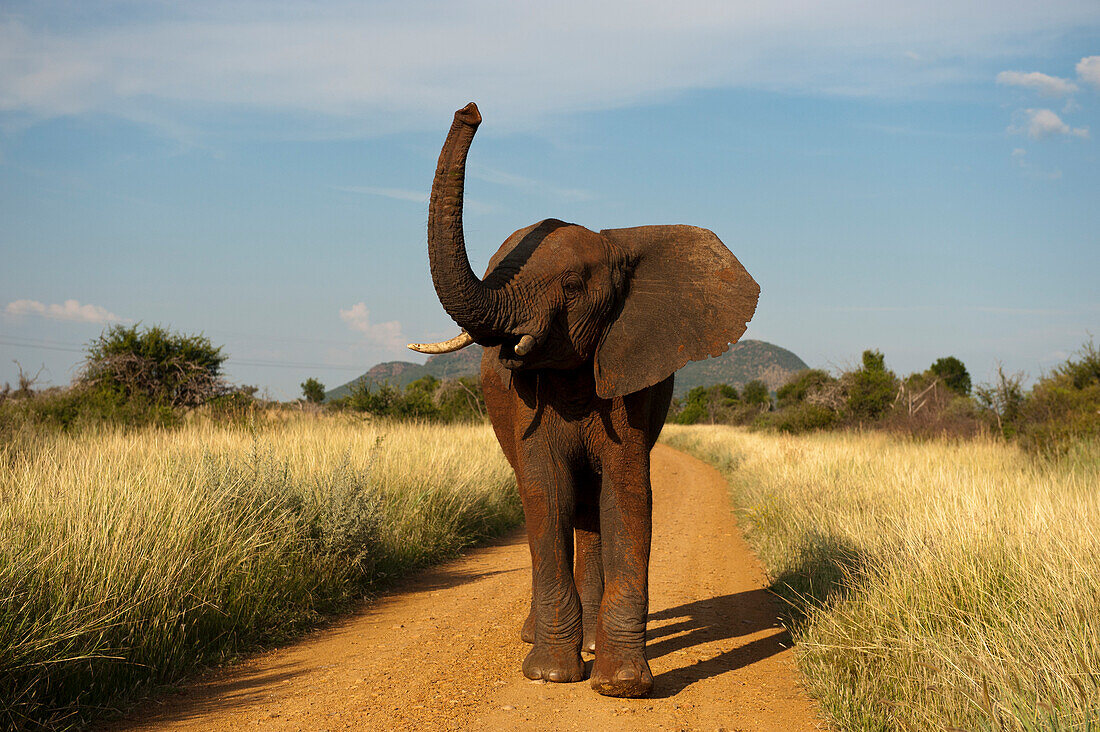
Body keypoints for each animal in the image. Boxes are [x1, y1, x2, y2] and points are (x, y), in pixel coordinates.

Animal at [409, 102, 761, 695]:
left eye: (572, 285)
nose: (470, 110)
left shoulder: (629, 378)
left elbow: (627, 493)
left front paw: (621, 685)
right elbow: (546, 491)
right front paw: (552, 676)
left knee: (594, 504)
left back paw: (593, 645)